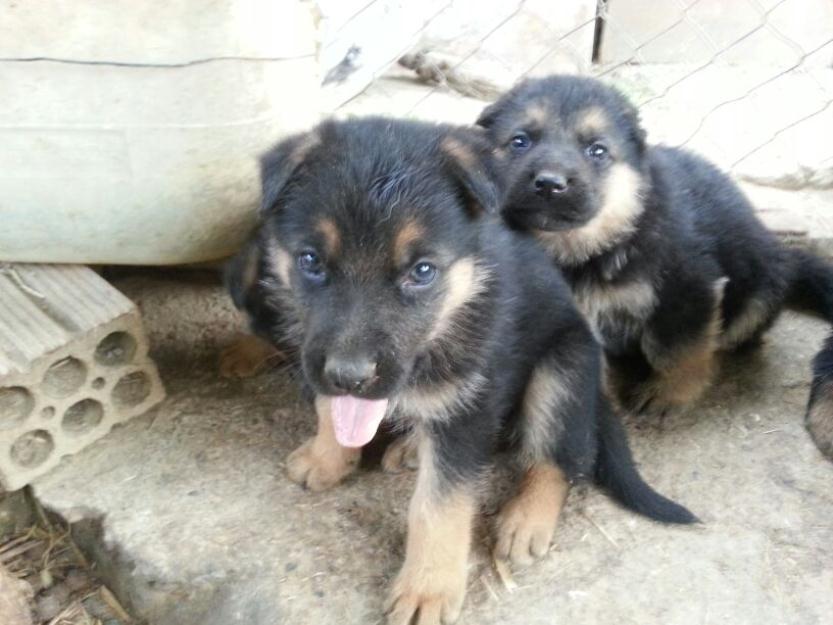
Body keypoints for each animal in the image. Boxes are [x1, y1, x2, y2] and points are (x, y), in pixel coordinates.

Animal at [228, 116, 696, 624]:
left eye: (422, 271)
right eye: (310, 260)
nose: (349, 376)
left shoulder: (471, 408)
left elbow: (439, 505)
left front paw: (427, 589)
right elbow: (329, 410)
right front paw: (327, 456)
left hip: (563, 369)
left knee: (561, 457)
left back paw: (527, 518)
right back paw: (411, 445)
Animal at [474, 77, 832, 458]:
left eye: (597, 151)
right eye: (519, 141)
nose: (549, 183)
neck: (588, 247)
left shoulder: (688, 291)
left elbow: (676, 349)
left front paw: (668, 394)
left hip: (758, 290)